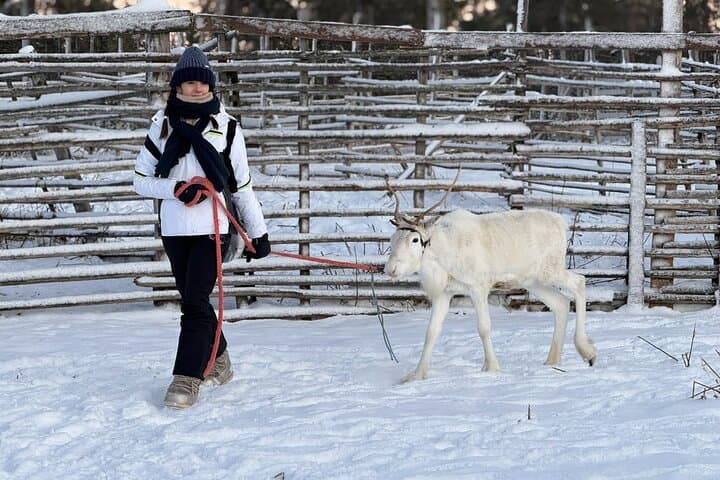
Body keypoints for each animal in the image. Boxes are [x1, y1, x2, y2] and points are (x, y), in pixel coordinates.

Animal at [383, 174, 596, 383]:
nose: (390, 268)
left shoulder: (478, 286)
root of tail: (562, 223)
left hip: (550, 270)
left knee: (579, 281)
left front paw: (492, 368)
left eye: (415, 239)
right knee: (561, 303)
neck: (442, 256)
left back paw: (587, 352)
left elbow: (484, 327)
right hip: (532, 281)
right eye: (392, 239)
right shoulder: (444, 292)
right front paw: (417, 375)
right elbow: (431, 332)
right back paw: (552, 360)